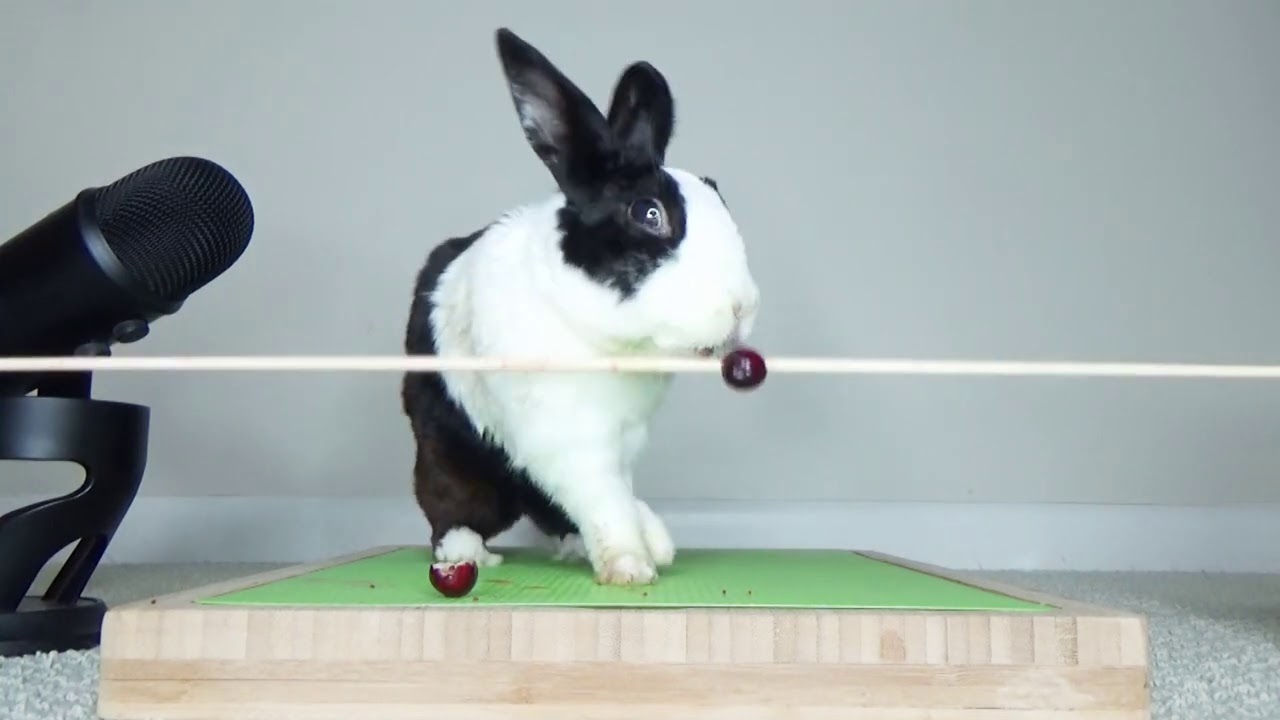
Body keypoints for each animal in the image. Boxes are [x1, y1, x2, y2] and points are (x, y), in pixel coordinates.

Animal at [400, 27, 760, 587]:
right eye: (648, 213)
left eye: (719, 194)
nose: (741, 307)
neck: (611, 343)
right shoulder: (568, 439)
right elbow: (603, 500)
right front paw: (630, 567)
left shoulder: (624, 439)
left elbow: (620, 495)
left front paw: (654, 544)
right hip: (448, 446)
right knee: (452, 504)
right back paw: (466, 556)